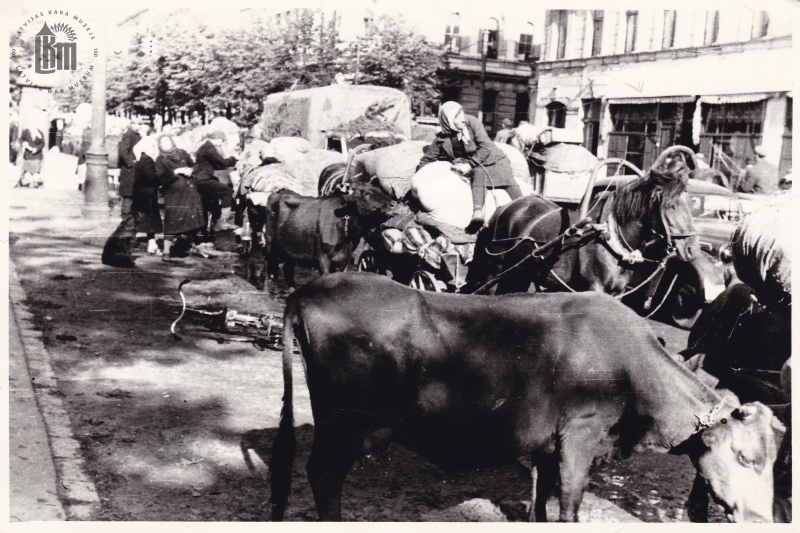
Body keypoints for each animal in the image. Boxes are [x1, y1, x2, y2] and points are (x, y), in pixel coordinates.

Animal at [266, 182, 396, 286]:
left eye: (380, 190)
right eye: (367, 194)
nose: (394, 204)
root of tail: (279, 191)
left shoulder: (345, 261)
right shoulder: (323, 258)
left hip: (290, 250)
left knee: (288, 269)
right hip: (270, 244)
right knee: (271, 269)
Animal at [272, 272, 784, 520]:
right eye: (746, 458)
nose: (762, 518)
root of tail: (310, 288)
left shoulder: (545, 444)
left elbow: (539, 503)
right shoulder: (580, 436)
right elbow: (568, 506)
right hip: (344, 425)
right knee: (323, 476)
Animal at [462, 145, 700, 300]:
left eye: (692, 203)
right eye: (671, 206)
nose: (691, 249)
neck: (610, 237)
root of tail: (501, 210)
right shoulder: (593, 289)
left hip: (520, 273)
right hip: (495, 270)